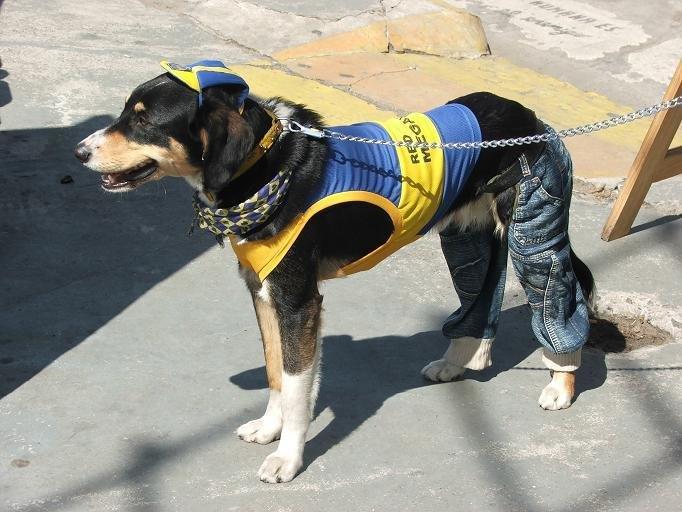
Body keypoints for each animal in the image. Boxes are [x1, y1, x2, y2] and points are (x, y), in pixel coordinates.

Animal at [75, 61, 594, 483]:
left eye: (144, 120)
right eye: (126, 113)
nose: (79, 151)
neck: (267, 169)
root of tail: (530, 118)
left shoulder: (298, 302)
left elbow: (297, 389)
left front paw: (287, 459)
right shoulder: (263, 294)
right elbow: (276, 374)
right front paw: (269, 428)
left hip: (533, 235)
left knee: (561, 299)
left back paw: (560, 384)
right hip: (468, 238)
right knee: (482, 296)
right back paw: (459, 362)